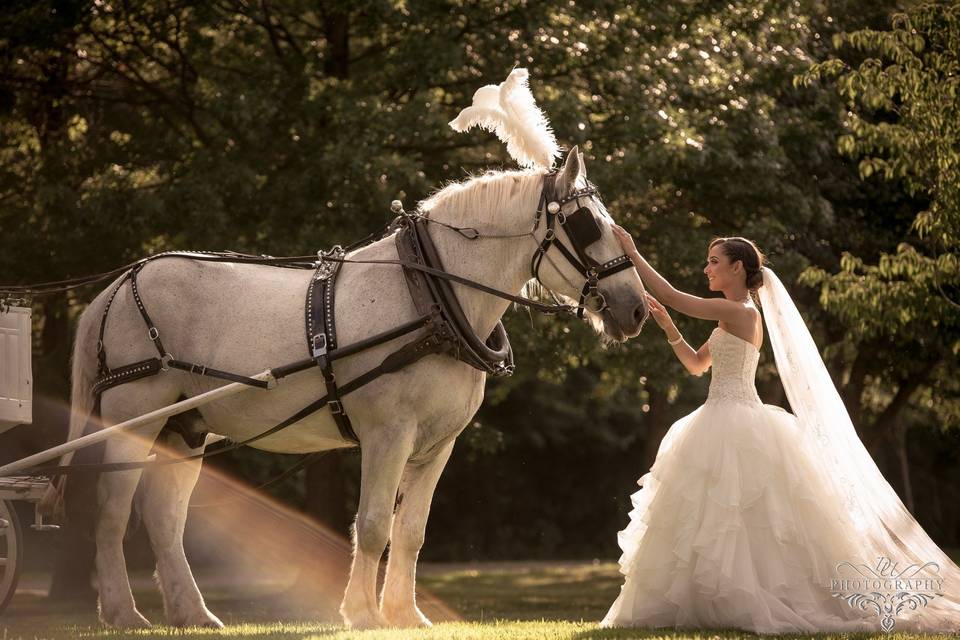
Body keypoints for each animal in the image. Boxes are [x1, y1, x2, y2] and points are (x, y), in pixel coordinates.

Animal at [50, 146, 644, 632]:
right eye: (587, 225)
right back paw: (125, 612)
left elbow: (411, 531)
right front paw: (363, 613)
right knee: (112, 513)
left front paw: (406, 615)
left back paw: (192, 613)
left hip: (184, 427)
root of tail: (115, 289)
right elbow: (375, 524)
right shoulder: (387, 435)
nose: (635, 309)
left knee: (164, 518)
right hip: (133, 417)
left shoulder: (438, 445)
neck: (429, 295)